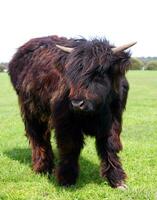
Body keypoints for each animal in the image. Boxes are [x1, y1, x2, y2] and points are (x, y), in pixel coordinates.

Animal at [8, 35, 136, 188]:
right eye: (71, 73)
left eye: (98, 72)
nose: (77, 103)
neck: (96, 111)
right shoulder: (66, 122)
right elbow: (70, 147)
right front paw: (66, 180)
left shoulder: (113, 121)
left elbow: (110, 146)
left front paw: (116, 180)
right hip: (31, 111)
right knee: (37, 137)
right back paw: (42, 168)